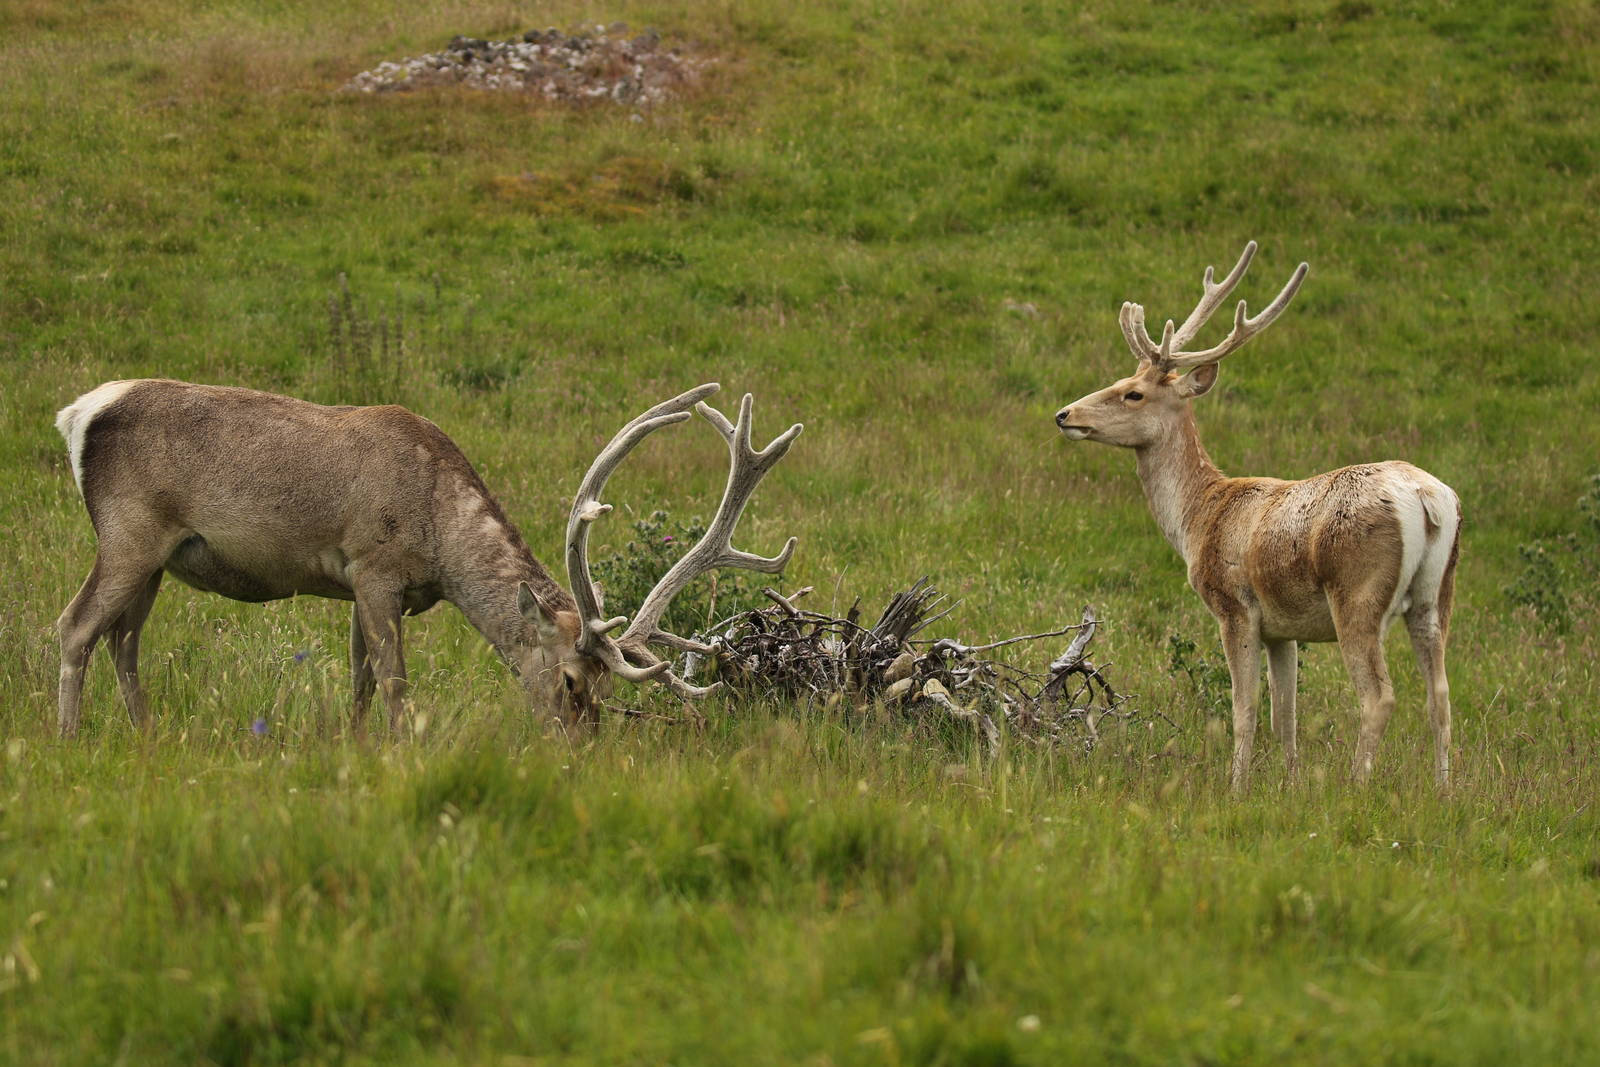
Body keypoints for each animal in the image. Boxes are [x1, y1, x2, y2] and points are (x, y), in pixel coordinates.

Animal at [53, 379, 799, 737]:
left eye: (608, 689)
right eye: (568, 682)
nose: (581, 748)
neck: (441, 541)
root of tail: (75, 414)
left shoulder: (357, 584)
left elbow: (358, 679)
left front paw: (356, 748)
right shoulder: (374, 566)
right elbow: (394, 682)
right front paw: (398, 749)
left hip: (161, 558)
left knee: (124, 640)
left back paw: (147, 735)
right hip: (128, 531)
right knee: (76, 626)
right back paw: (70, 740)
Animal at [1053, 242, 1460, 791]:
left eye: (1133, 393)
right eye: (1119, 380)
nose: (1065, 414)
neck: (1198, 517)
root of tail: (1426, 498)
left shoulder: (1234, 606)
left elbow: (1243, 710)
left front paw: (1237, 788)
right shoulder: (1282, 629)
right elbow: (1284, 715)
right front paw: (1290, 785)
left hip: (1357, 592)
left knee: (1379, 696)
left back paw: (1357, 787)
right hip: (1436, 594)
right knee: (1441, 696)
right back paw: (1445, 792)